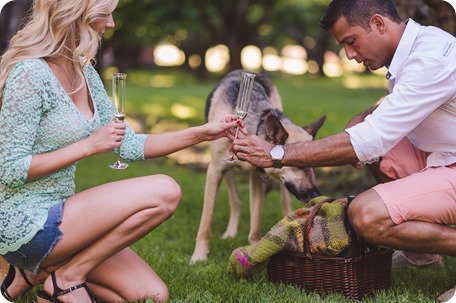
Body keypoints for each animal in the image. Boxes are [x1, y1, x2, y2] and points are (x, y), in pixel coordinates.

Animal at [191, 70, 326, 264]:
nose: (316, 194)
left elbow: (255, 222)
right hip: (225, 172)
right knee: (235, 199)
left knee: (284, 199)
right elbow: (205, 222)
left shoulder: (256, 177)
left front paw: (255, 250)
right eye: (299, 165)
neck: (255, 124)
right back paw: (230, 232)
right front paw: (199, 255)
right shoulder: (215, 171)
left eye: (312, 165)